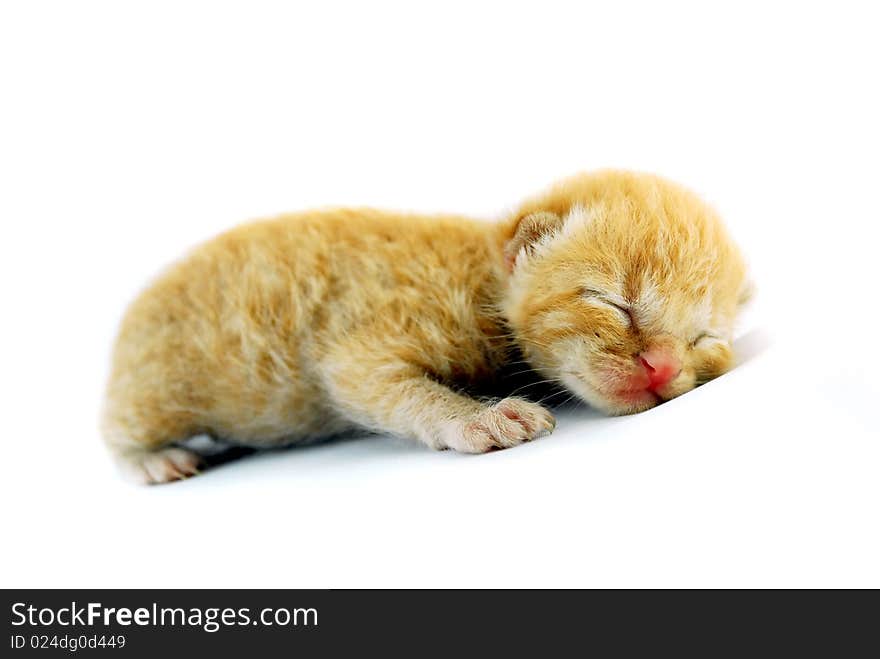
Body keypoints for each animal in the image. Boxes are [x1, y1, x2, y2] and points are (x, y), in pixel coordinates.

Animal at [101, 170, 748, 484]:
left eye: (703, 340)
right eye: (616, 304)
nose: (661, 366)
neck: (482, 276)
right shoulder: (365, 341)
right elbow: (389, 387)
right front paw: (481, 418)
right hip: (155, 389)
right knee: (115, 432)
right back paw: (153, 461)